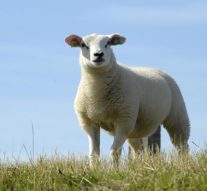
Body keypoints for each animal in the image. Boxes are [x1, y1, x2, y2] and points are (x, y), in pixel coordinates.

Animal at [65, 32, 190, 166]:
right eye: (83, 45)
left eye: (108, 43)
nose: (98, 54)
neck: (97, 95)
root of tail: (158, 70)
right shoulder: (89, 122)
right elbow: (94, 154)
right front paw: (94, 169)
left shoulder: (123, 120)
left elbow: (114, 151)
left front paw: (115, 169)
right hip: (135, 129)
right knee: (138, 151)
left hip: (177, 116)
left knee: (182, 145)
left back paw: (184, 163)